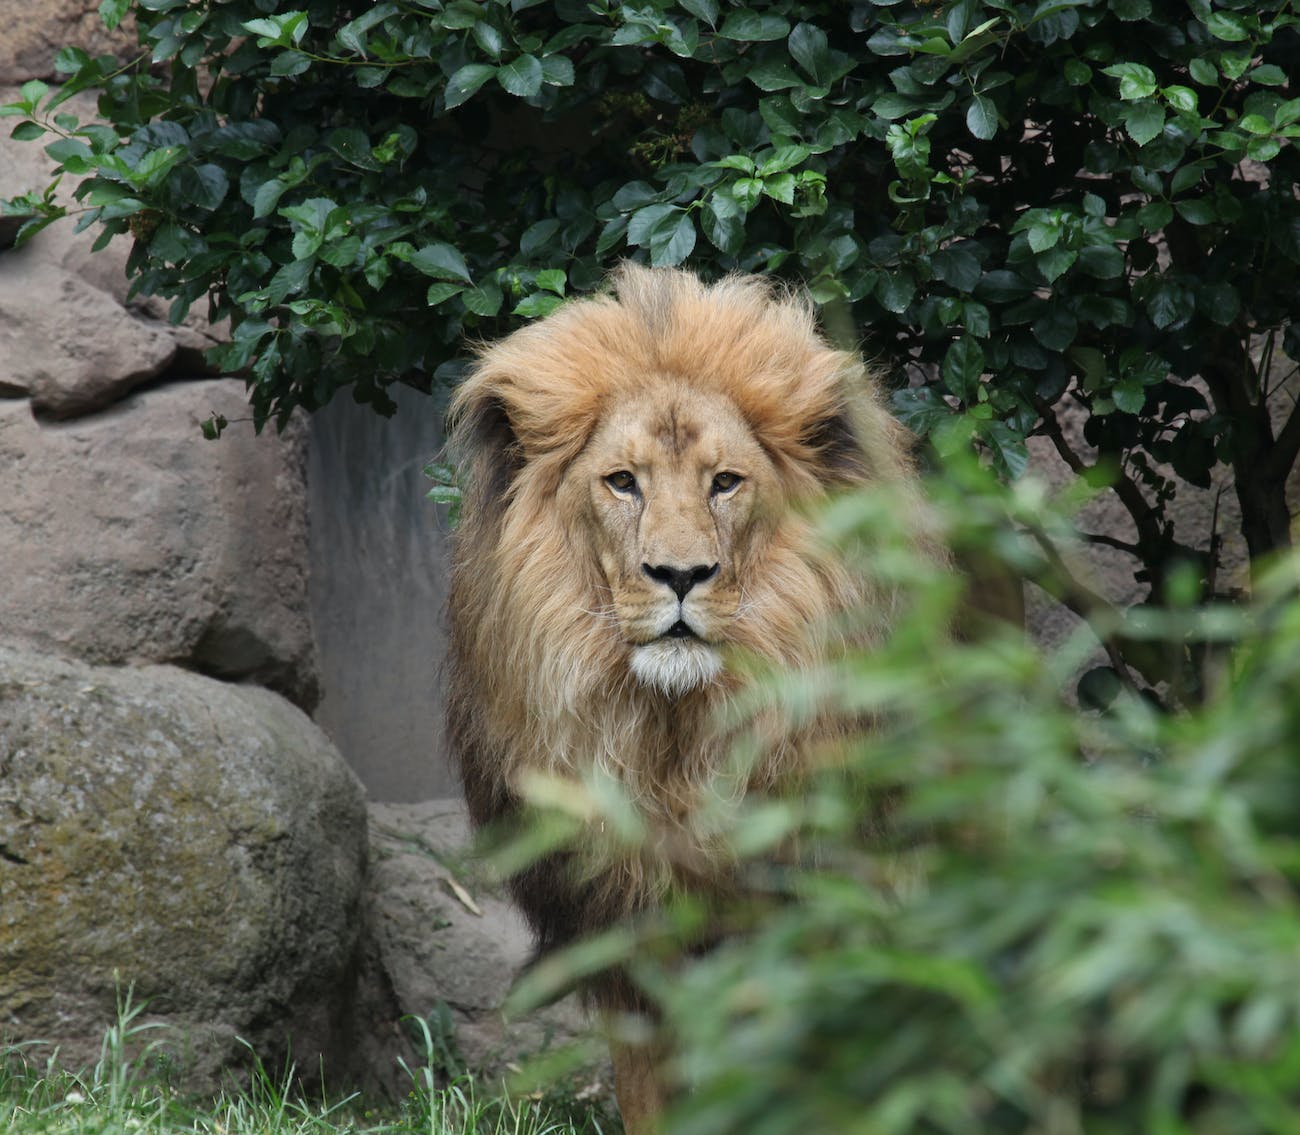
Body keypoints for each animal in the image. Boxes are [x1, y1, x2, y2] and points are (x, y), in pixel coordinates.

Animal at [449, 263, 935, 1123]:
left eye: (725, 483)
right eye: (622, 483)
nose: (680, 575)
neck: (673, 739)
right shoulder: (628, 927)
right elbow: (653, 1088)